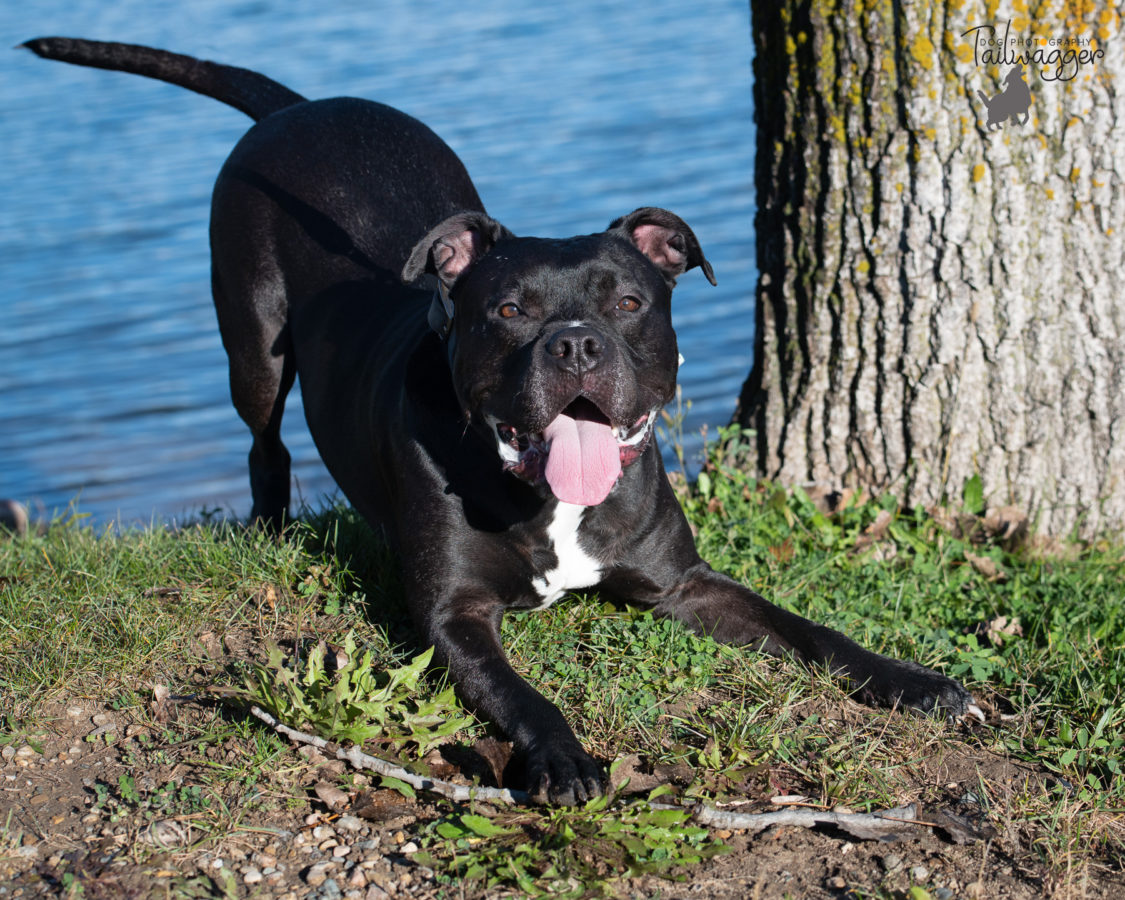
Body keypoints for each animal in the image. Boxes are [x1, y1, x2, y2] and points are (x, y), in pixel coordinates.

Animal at [26, 40, 976, 801]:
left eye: (629, 301)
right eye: (510, 311)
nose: (575, 343)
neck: (547, 497)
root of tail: (301, 107)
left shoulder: (687, 585)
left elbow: (809, 629)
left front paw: (911, 681)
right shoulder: (455, 617)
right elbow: (526, 696)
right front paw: (563, 761)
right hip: (253, 347)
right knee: (265, 444)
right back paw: (267, 529)